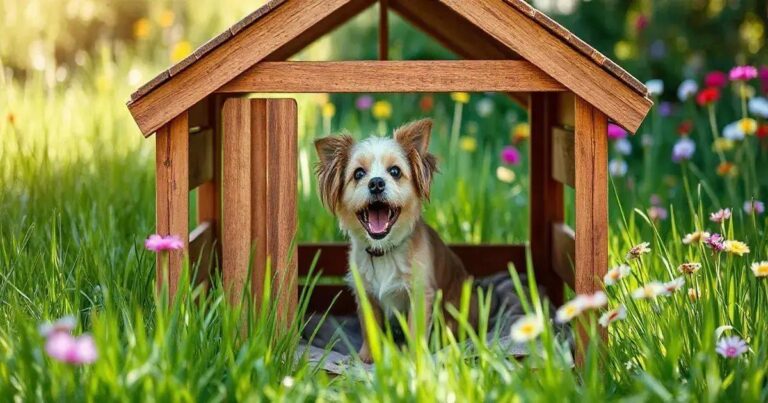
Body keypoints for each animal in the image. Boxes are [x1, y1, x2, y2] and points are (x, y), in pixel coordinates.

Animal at [312, 118, 474, 364]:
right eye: (358, 174)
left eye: (395, 171)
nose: (376, 183)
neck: (384, 251)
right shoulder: (366, 295)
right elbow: (370, 329)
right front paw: (367, 357)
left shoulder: (420, 293)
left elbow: (415, 329)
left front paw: (415, 358)